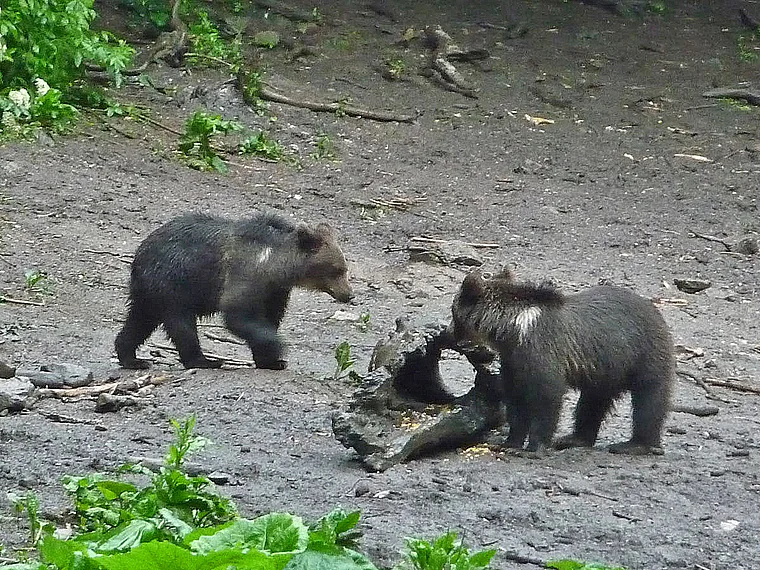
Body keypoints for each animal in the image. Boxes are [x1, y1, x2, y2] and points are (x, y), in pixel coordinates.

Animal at [115, 212, 353, 370]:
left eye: (344, 268)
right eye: (337, 269)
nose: (349, 294)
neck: (276, 267)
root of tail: (139, 254)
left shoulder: (274, 291)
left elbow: (270, 318)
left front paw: (271, 361)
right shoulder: (245, 274)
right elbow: (238, 316)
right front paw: (277, 348)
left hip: (152, 291)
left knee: (140, 321)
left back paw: (131, 358)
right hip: (173, 283)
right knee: (181, 324)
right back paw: (204, 360)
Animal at [449, 268, 675, 455]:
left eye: (453, 311)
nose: (449, 331)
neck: (514, 328)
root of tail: (655, 311)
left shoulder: (541, 350)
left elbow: (547, 395)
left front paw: (534, 447)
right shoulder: (513, 361)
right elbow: (516, 399)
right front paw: (509, 443)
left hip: (644, 355)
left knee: (649, 399)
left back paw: (635, 444)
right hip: (605, 370)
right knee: (592, 402)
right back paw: (574, 439)